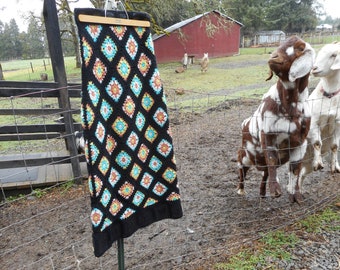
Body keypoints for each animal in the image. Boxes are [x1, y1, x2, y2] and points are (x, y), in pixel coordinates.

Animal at [238, 37, 314, 204]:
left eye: (300, 48)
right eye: (281, 43)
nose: (273, 56)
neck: (290, 107)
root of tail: (244, 123)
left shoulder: (300, 142)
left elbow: (296, 169)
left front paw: (296, 197)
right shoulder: (268, 135)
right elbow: (271, 159)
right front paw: (276, 191)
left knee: (264, 173)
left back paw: (262, 193)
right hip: (245, 155)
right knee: (241, 168)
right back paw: (240, 190)